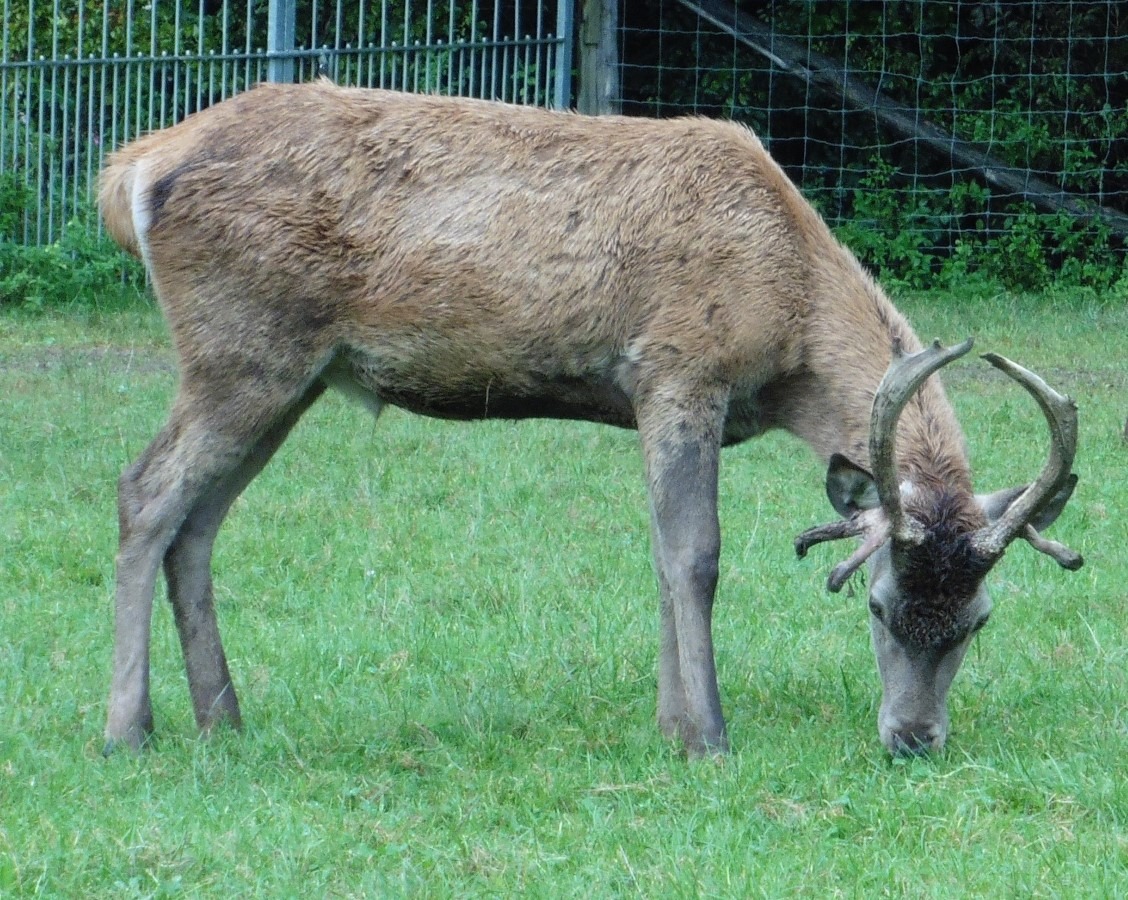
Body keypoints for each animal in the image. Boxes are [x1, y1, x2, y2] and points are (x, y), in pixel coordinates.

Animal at [98, 80, 1083, 759]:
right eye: (877, 607)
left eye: (979, 619)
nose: (914, 740)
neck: (789, 323)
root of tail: (135, 169)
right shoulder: (680, 367)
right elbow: (695, 556)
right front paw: (708, 736)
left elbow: (658, 555)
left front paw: (668, 722)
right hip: (241, 351)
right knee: (145, 492)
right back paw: (128, 730)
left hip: (285, 376)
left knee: (197, 525)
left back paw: (223, 718)